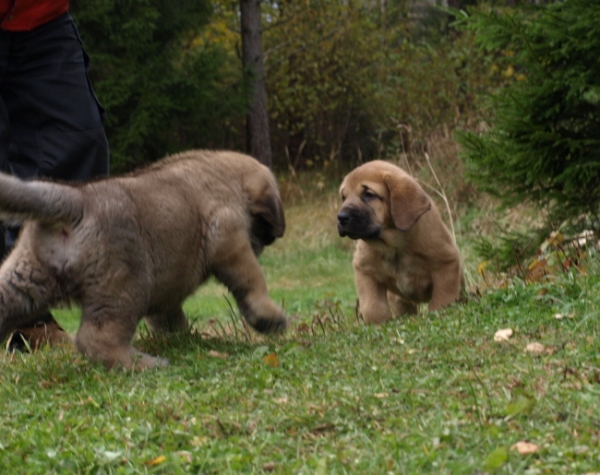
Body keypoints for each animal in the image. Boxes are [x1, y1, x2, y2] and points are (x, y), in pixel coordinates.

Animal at [338, 160, 464, 324]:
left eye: (369, 194)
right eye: (343, 197)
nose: (341, 217)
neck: (394, 246)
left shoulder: (446, 263)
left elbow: (441, 299)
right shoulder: (364, 270)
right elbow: (372, 307)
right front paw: (378, 323)